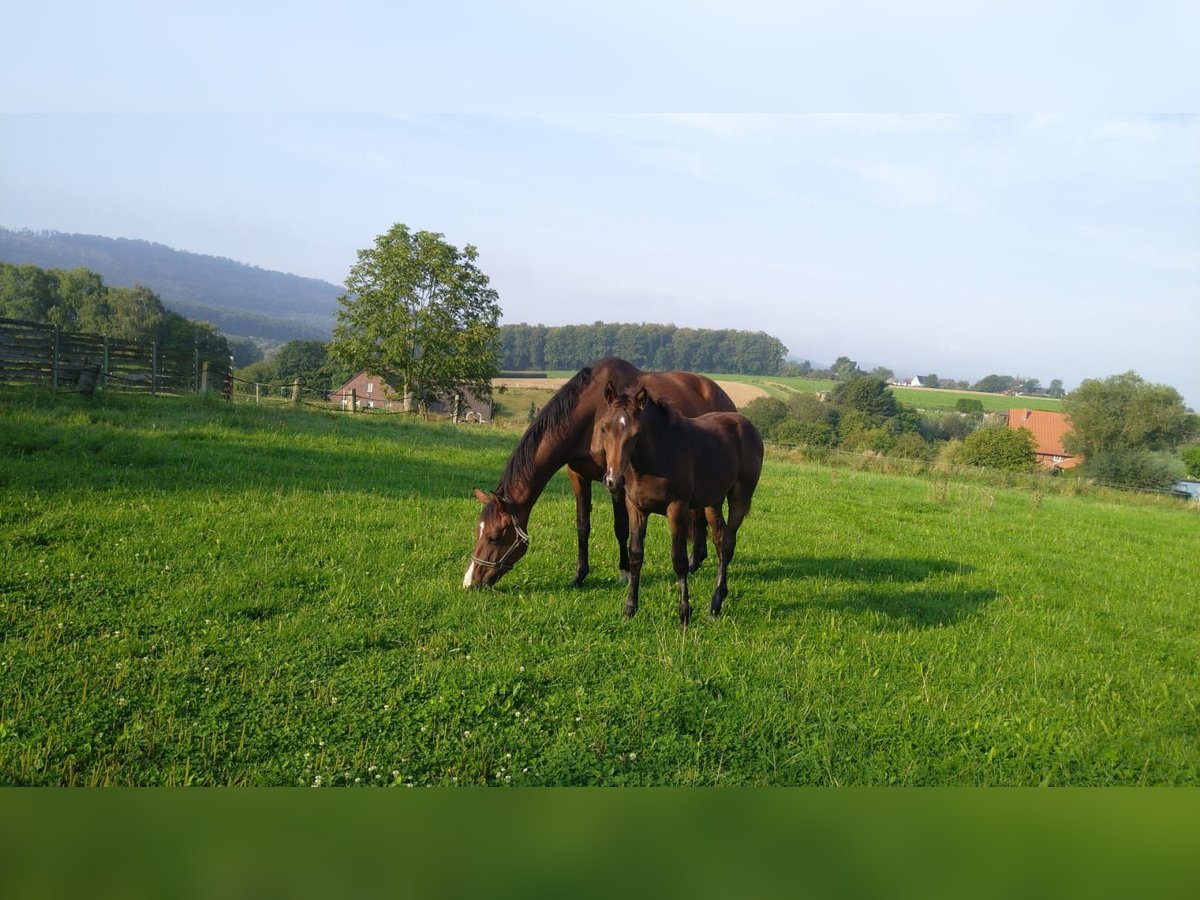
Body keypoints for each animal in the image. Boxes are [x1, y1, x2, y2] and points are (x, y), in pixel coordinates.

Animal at [465, 360, 729, 592]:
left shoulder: (617, 481)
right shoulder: (578, 475)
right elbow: (582, 525)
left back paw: (694, 563)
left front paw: (625, 571)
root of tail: (720, 394)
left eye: (494, 537)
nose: (470, 582)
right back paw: (696, 560)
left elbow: (621, 526)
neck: (591, 415)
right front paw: (579, 576)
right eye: (477, 531)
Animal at [597, 381, 763, 628]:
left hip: (739, 496)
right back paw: (719, 598)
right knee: (720, 538)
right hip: (712, 500)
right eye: (604, 428)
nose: (612, 481)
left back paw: (715, 602)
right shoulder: (636, 508)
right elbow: (636, 554)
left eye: (637, 433)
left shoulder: (677, 508)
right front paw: (630, 608)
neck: (655, 459)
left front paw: (684, 614)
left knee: (728, 542)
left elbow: (679, 560)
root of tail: (747, 425)